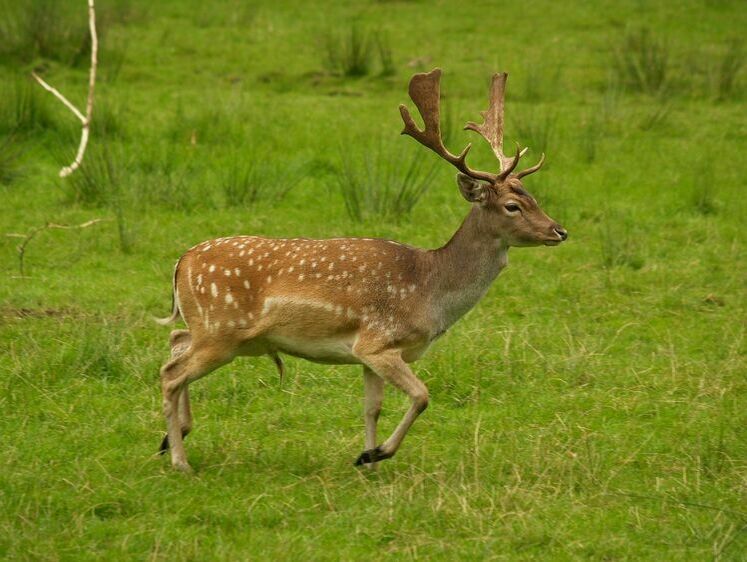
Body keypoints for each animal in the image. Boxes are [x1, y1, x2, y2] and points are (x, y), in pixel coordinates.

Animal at [156, 70, 568, 472]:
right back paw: (180, 460)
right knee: (171, 373)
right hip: (221, 331)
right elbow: (422, 396)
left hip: (215, 331)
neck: (430, 291)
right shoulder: (378, 341)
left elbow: (372, 408)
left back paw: (170, 438)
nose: (559, 231)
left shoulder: (370, 355)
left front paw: (366, 461)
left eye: (535, 197)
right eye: (513, 206)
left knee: (175, 342)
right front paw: (376, 454)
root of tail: (182, 261)